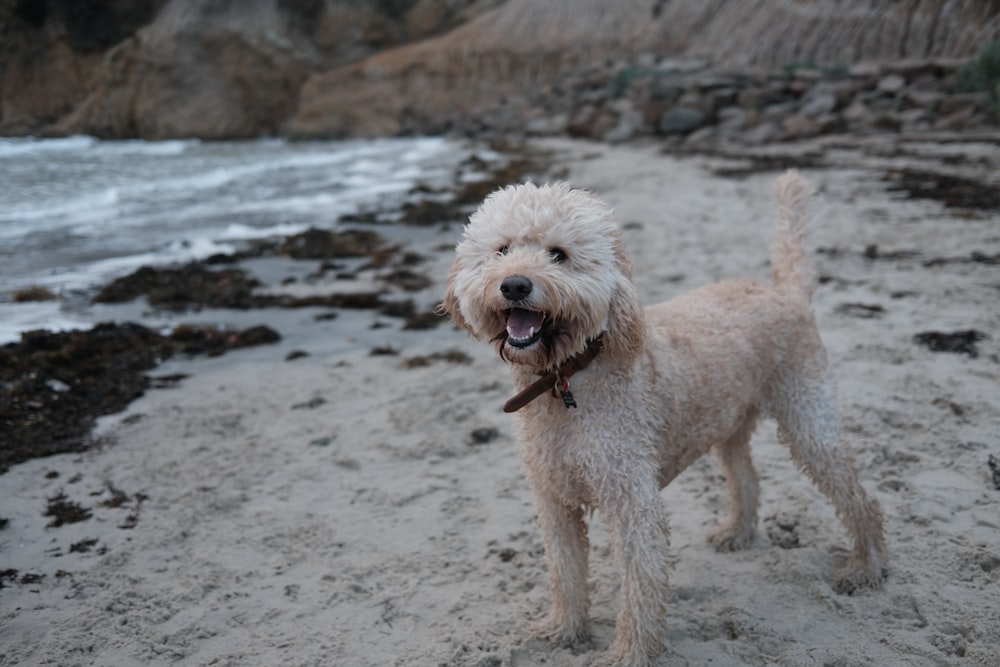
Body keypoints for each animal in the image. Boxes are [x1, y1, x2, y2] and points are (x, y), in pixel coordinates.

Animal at [442, 172, 888, 667]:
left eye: (559, 254)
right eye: (501, 250)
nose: (515, 286)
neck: (567, 376)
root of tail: (784, 288)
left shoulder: (632, 501)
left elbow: (640, 584)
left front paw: (629, 652)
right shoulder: (553, 499)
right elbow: (565, 572)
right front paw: (564, 629)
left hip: (808, 417)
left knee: (859, 498)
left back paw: (866, 567)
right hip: (729, 422)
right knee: (746, 477)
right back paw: (738, 531)